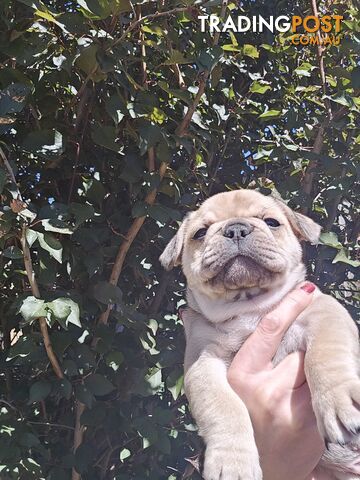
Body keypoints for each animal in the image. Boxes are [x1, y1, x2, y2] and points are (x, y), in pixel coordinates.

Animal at [160, 189, 360, 480]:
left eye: (272, 222)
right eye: (200, 233)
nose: (236, 229)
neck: (248, 306)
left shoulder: (324, 312)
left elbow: (327, 355)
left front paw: (340, 401)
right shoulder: (204, 361)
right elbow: (224, 406)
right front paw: (232, 462)